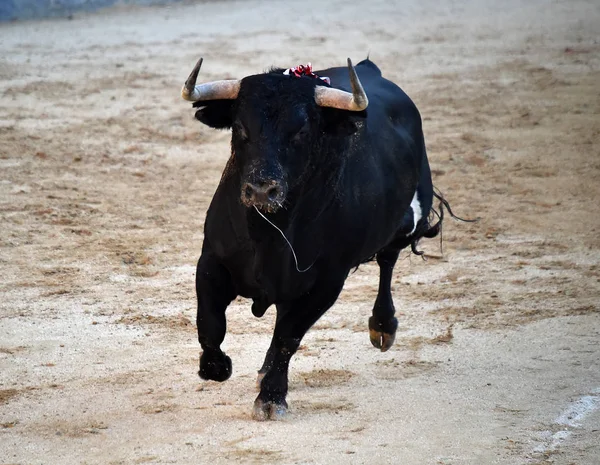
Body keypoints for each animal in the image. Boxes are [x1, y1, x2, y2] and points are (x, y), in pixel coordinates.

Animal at [184, 56, 446, 418]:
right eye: (240, 127)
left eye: (301, 131)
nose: (262, 189)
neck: (269, 234)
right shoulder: (211, 260)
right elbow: (210, 323)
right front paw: (217, 367)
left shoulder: (327, 282)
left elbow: (288, 336)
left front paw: (271, 397)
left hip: (405, 220)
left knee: (387, 259)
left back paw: (382, 327)